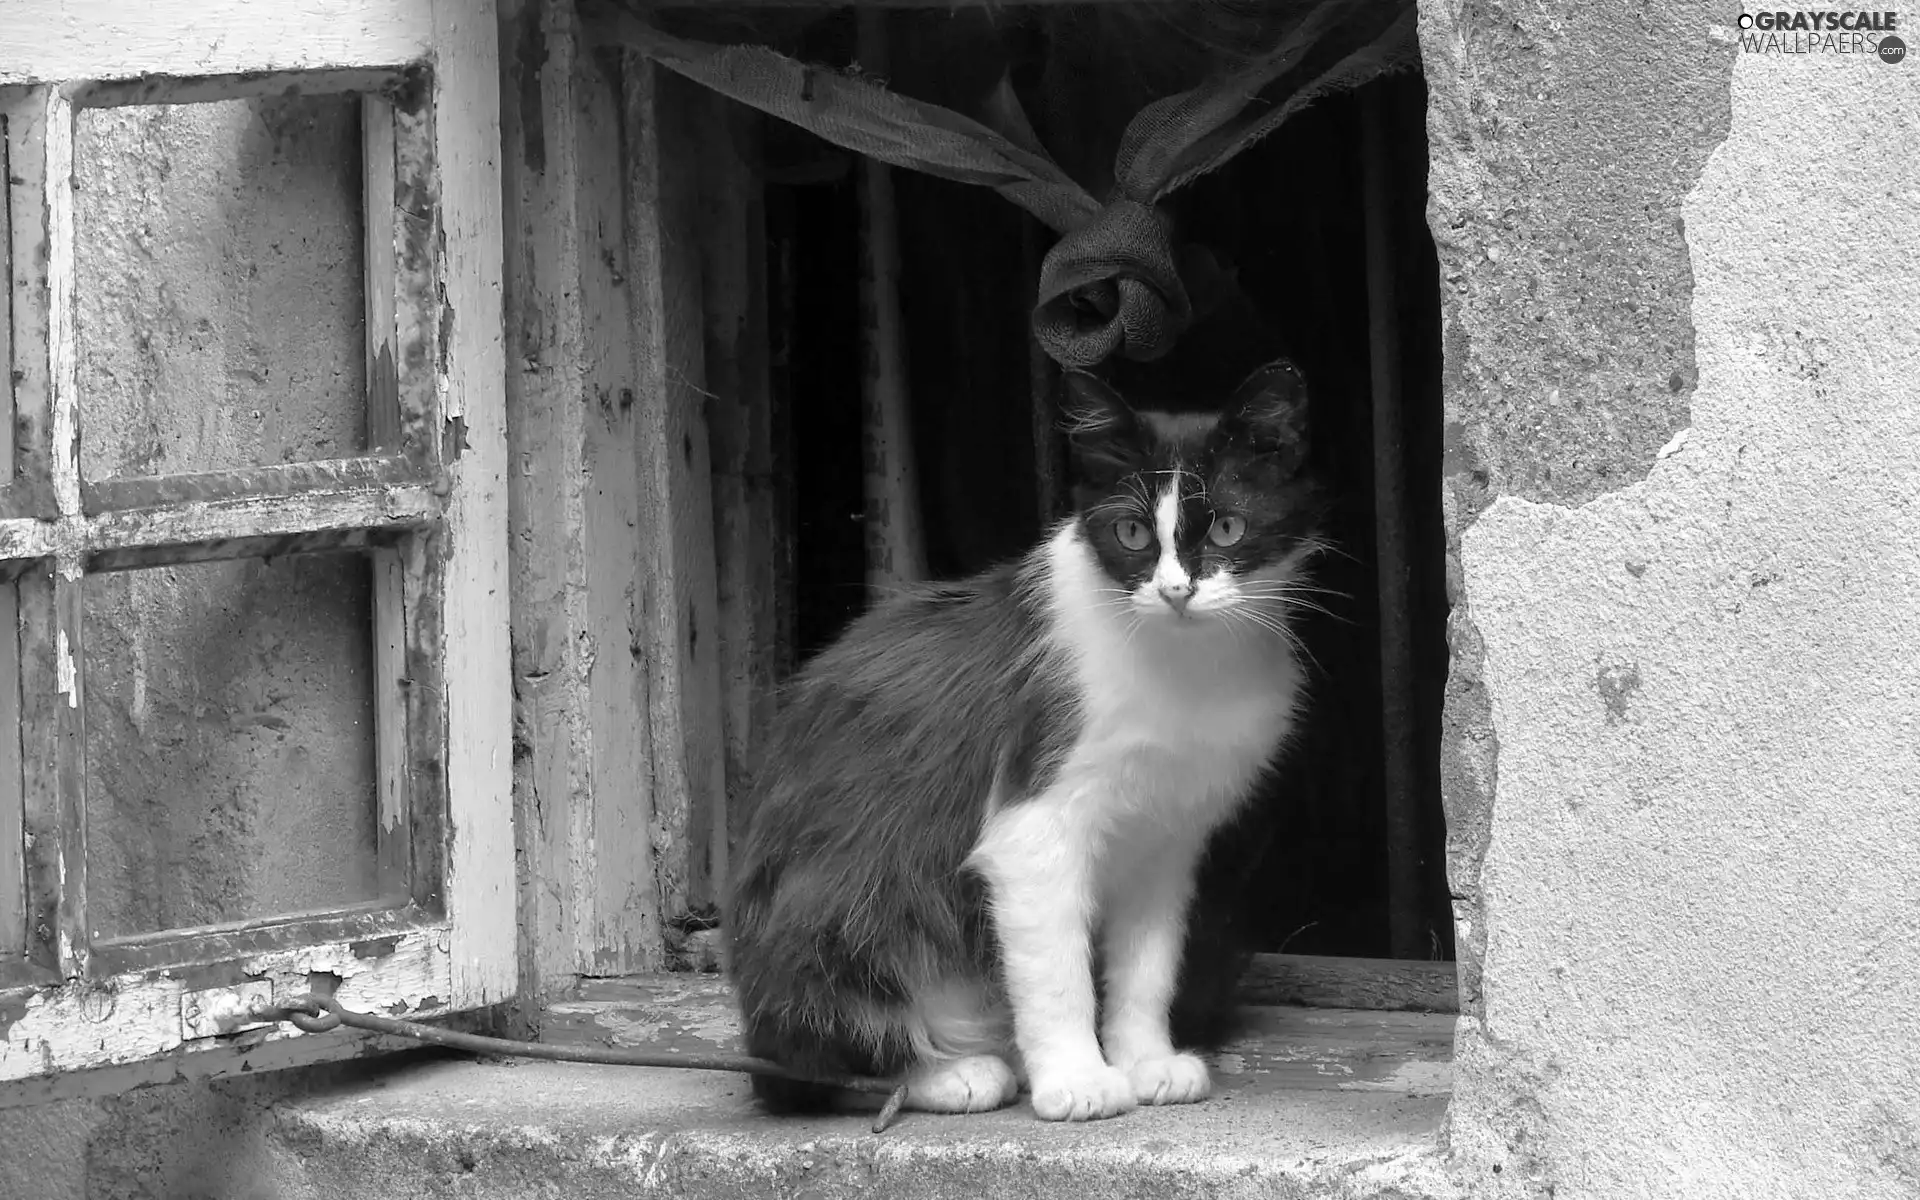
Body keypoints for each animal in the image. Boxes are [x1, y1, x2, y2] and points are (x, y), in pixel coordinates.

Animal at [725, 360, 1328, 1121]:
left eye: (1226, 526)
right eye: (1132, 532)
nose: (1175, 592)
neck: (1186, 663)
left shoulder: (1167, 836)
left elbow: (1147, 963)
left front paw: (1144, 1060)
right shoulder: (1034, 816)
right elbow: (1057, 969)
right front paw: (1077, 1079)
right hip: (840, 904)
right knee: (806, 1065)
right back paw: (948, 1074)